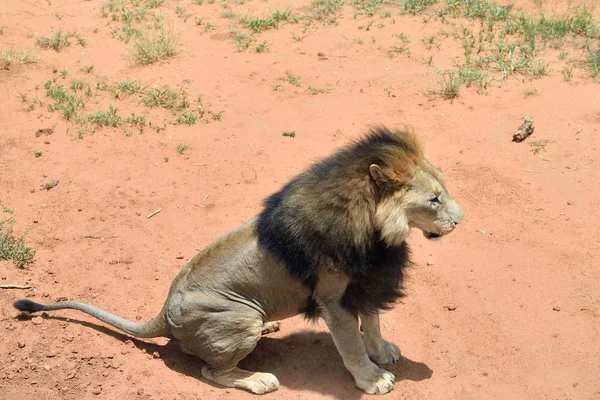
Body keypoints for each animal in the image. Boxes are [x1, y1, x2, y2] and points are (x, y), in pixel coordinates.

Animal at [14, 126, 464, 396]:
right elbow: (351, 343)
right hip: (240, 316)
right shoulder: (333, 300)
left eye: (443, 190)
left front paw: (383, 351)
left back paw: (271, 327)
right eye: (434, 199)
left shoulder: (367, 279)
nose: (461, 220)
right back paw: (259, 379)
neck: (377, 234)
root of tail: (164, 312)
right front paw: (372, 380)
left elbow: (372, 323)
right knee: (211, 372)